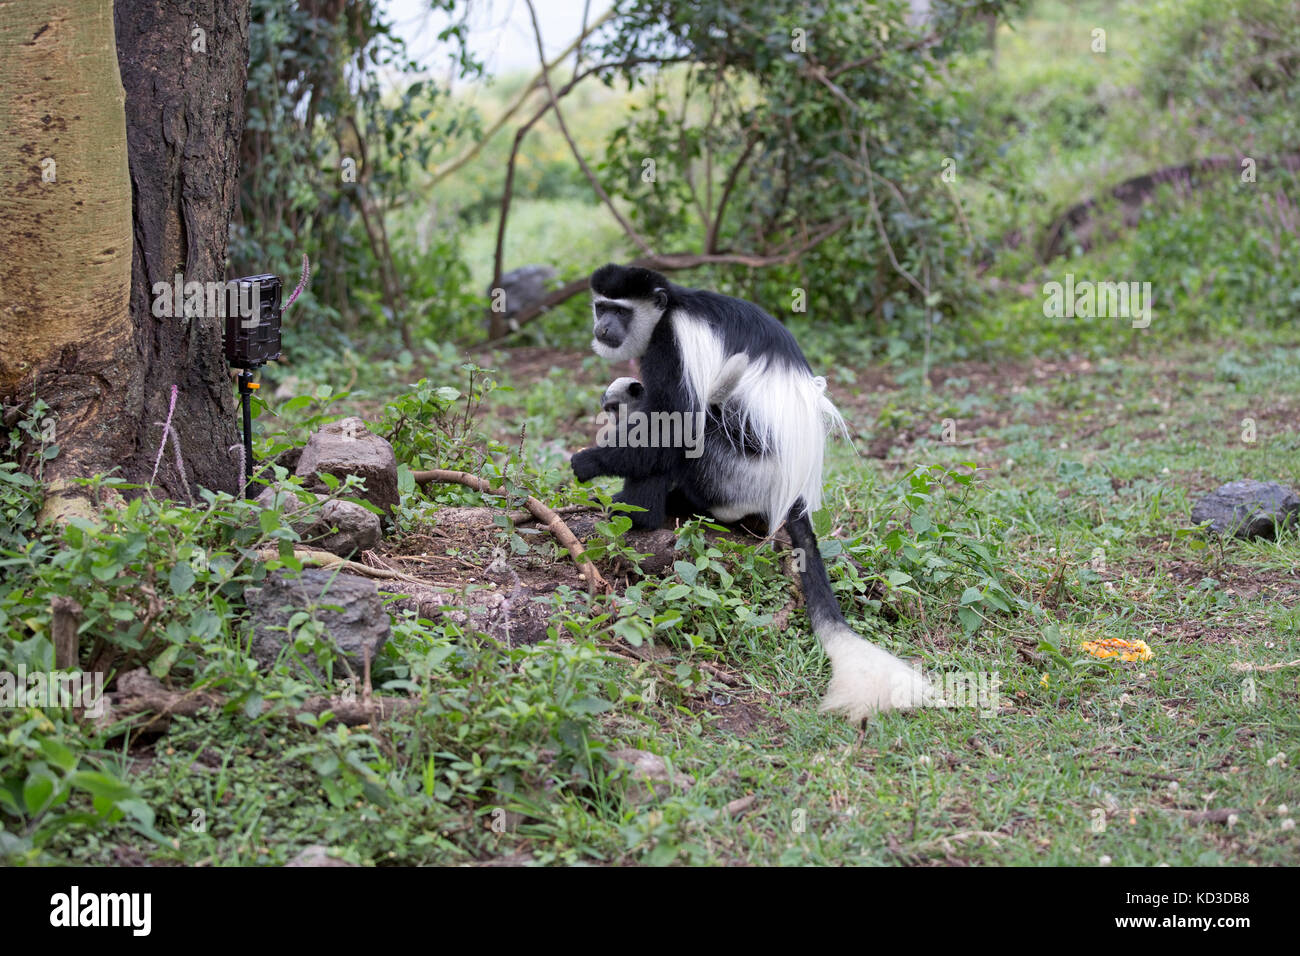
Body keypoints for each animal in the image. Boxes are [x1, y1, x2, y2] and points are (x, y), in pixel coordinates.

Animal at [574, 261, 930, 717]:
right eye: (601, 306)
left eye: (620, 311)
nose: (602, 327)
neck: (669, 310)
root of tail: (793, 491)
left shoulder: (674, 345)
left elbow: (672, 427)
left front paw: (589, 463)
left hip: (737, 469)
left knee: (696, 426)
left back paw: (638, 514)